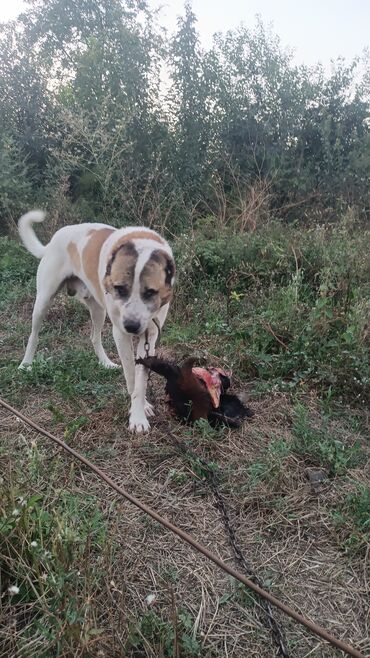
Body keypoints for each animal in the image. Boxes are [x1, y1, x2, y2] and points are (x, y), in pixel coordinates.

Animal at [15, 210, 175, 434]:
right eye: (119, 288)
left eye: (151, 292)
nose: (132, 326)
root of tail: (56, 237)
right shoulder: (121, 334)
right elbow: (131, 376)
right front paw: (136, 415)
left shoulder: (150, 335)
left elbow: (141, 378)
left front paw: (141, 408)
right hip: (43, 302)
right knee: (34, 335)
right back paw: (26, 364)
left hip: (99, 310)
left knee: (94, 337)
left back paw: (105, 363)